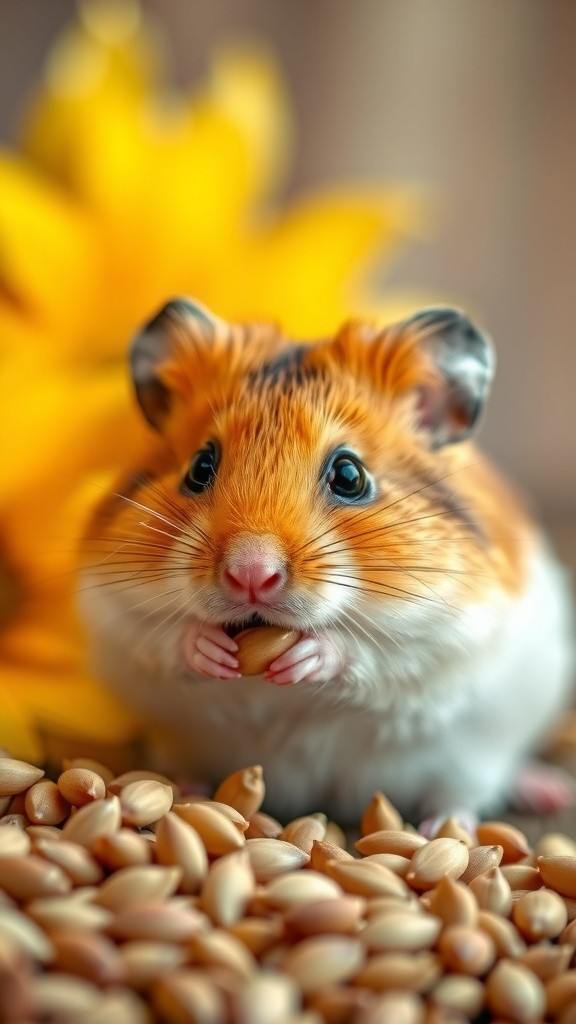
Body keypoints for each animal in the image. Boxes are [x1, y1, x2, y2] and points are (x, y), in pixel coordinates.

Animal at [79, 298, 574, 827]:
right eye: (198, 468)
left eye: (350, 475)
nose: (250, 575)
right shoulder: (113, 613)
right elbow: (162, 638)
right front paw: (210, 649)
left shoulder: (452, 634)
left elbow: (371, 653)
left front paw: (306, 657)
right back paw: (185, 792)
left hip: (479, 752)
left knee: (462, 796)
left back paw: (498, 810)